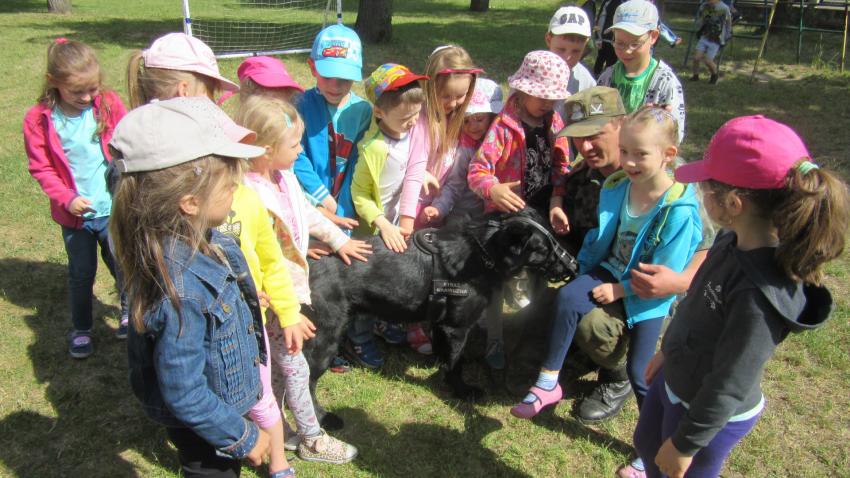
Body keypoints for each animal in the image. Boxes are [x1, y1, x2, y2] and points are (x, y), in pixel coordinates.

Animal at [301, 208, 578, 428]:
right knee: (306, 385)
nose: (574, 266)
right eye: (542, 249)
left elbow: (445, 353)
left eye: (554, 237)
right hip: (324, 338)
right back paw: (323, 419)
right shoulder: (457, 328)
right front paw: (461, 390)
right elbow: (457, 362)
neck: (482, 254)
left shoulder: (441, 325)